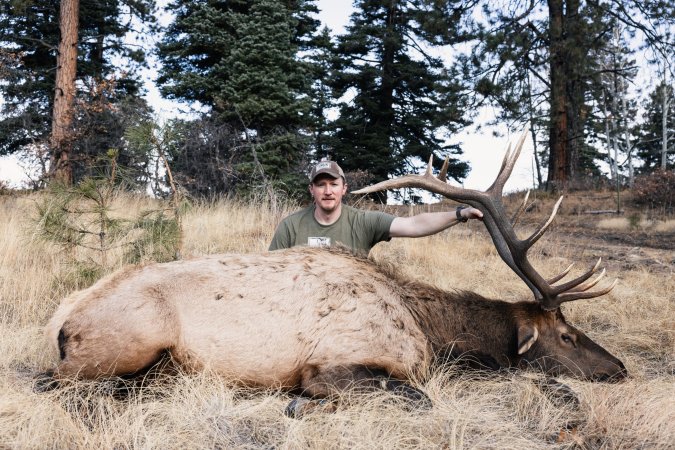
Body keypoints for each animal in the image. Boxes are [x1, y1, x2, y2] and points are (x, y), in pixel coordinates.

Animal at [42, 131, 628, 414]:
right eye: (567, 335)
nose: (620, 368)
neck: (432, 333)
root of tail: (60, 322)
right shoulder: (334, 364)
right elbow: (417, 397)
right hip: (128, 340)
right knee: (61, 385)